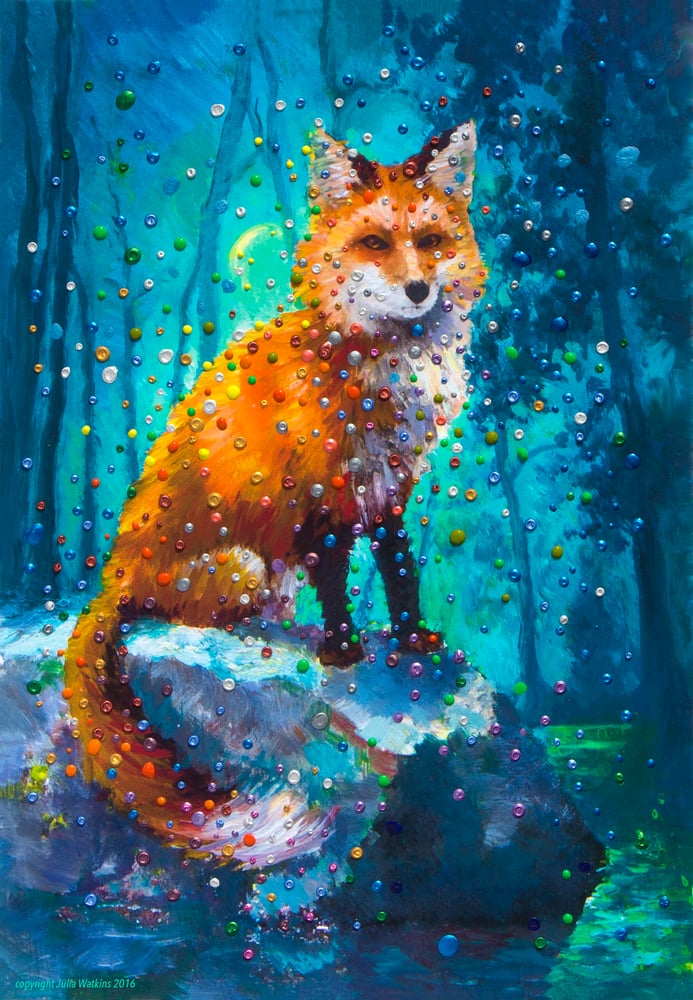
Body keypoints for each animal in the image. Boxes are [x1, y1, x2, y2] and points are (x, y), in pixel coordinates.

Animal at [61, 123, 486, 858]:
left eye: (430, 241)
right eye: (376, 243)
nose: (416, 290)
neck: (378, 367)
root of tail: (112, 575)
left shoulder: (388, 487)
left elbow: (398, 568)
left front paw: (411, 640)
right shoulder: (321, 489)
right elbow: (338, 575)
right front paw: (343, 649)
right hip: (244, 567)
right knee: (185, 618)